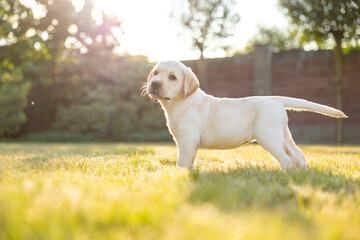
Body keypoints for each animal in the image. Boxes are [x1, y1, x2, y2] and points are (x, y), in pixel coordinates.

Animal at [145, 60, 348, 170]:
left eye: (172, 77)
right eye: (155, 73)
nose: (154, 83)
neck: (180, 103)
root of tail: (275, 99)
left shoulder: (187, 141)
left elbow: (183, 162)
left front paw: (179, 174)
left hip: (269, 137)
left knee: (287, 159)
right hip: (283, 135)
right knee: (298, 154)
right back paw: (304, 173)